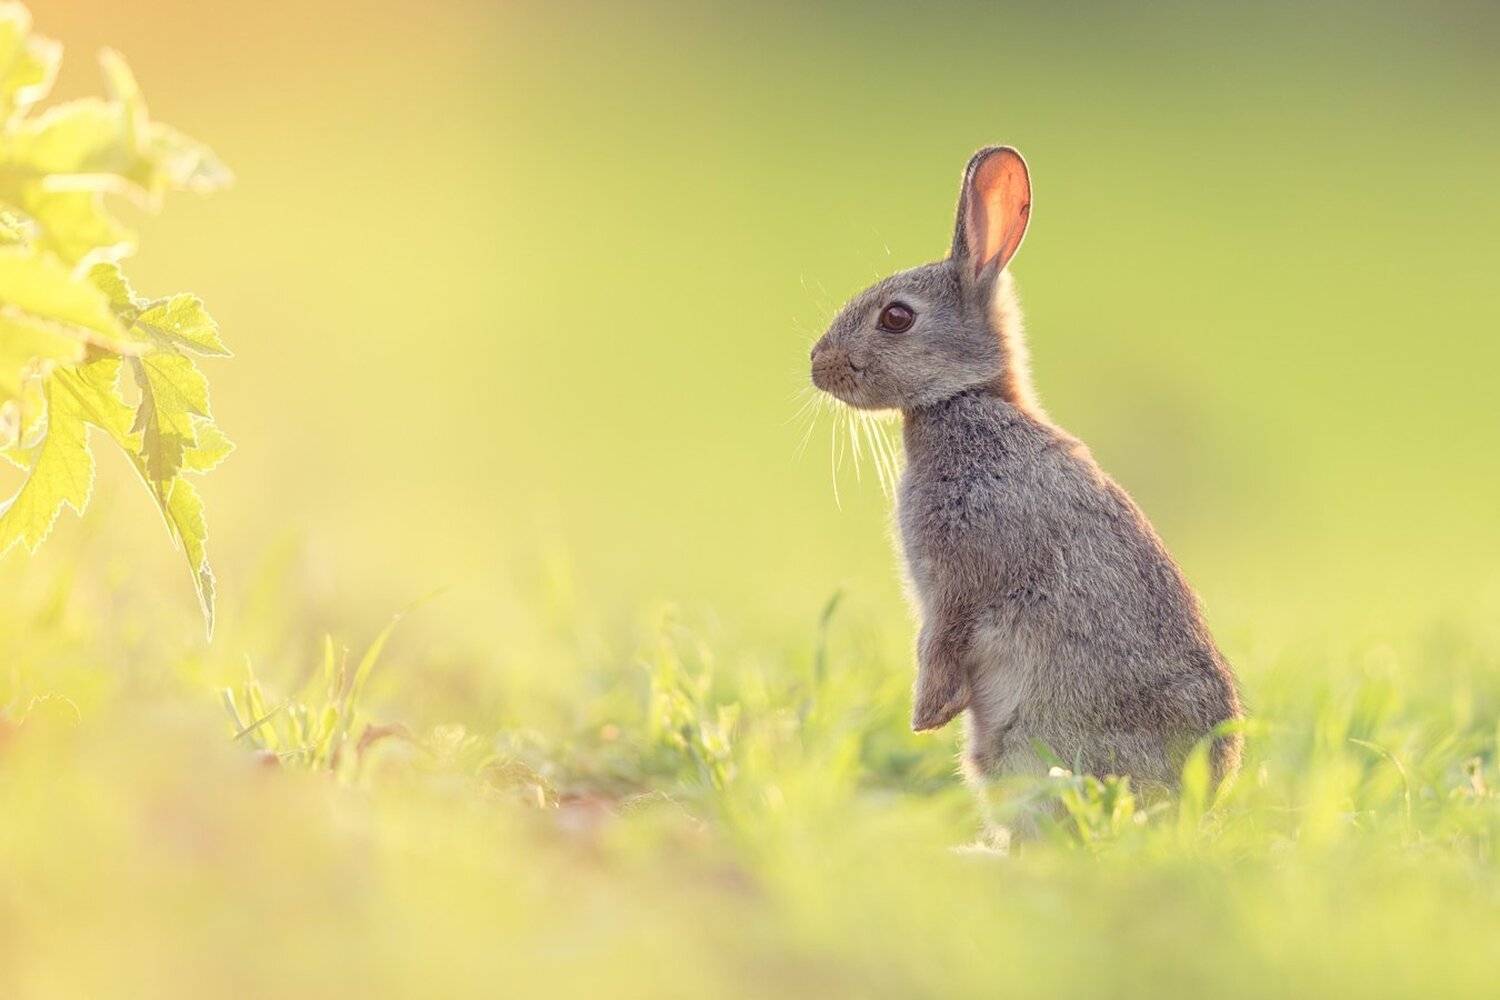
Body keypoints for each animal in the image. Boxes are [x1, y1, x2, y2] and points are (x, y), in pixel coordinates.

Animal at [809, 146, 1242, 798]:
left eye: (896, 317)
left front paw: (926, 715)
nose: (816, 364)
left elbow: (941, 639)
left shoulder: (962, 575)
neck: (966, 399)